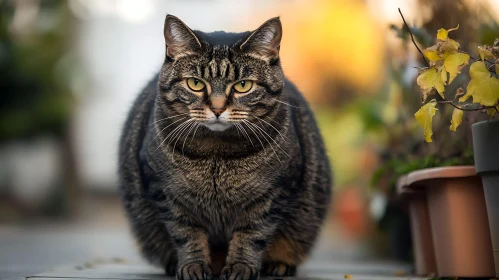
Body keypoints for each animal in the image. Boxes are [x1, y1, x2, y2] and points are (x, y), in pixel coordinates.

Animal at [118, 15, 332, 280]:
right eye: (195, 83)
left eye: (243, 85)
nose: (218, 108)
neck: (216, 156)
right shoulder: (166, 192)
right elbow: (186, 234)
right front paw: (193, 266)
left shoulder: (274, 193)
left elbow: (251, 234)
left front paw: (241, 267)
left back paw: (279, 265)